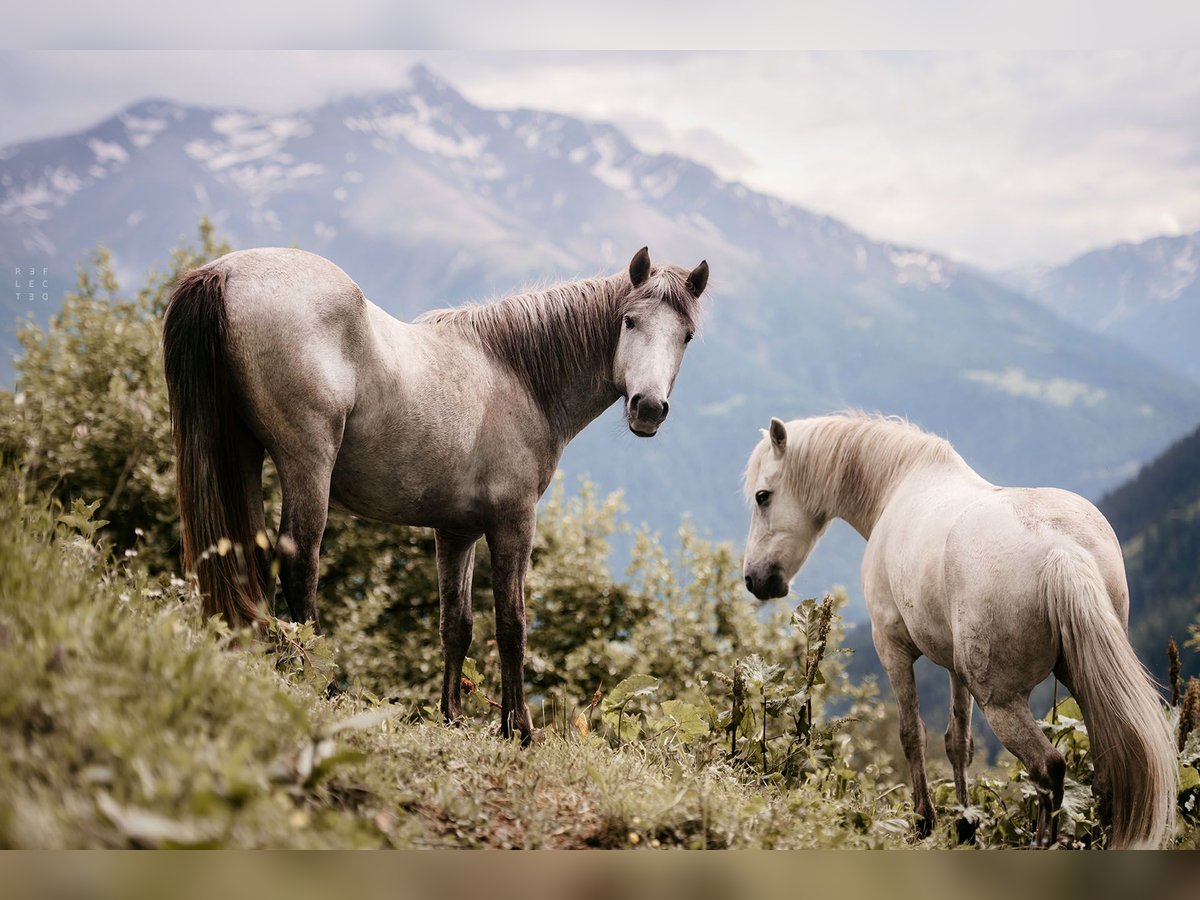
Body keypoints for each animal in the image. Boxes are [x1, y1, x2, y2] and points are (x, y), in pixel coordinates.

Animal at [164, 243, 705, 744]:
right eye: (629, 321)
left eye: (686, 336)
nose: (648, 408)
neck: (517, 376)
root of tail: (224, 273)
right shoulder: (513, 522)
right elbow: (511, 624)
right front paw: (519, 728)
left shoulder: (456, 532)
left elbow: (456, 624)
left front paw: (453, 717)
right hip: (306, 465)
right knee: (299, 567)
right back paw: (323, 685)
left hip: (242, 453)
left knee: (248, 560)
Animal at [739, 412, 1171, 849]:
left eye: (762, 496)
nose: (755, 579)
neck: (899, 484)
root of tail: (1061, 552)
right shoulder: (954, 668)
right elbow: (958, 742)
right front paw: (964, 826)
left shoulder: (891, 647)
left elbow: (912, 734)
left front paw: (924, 821)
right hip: (1082, 682)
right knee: (1108, 772)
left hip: (1000, 699)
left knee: (1047, 766)